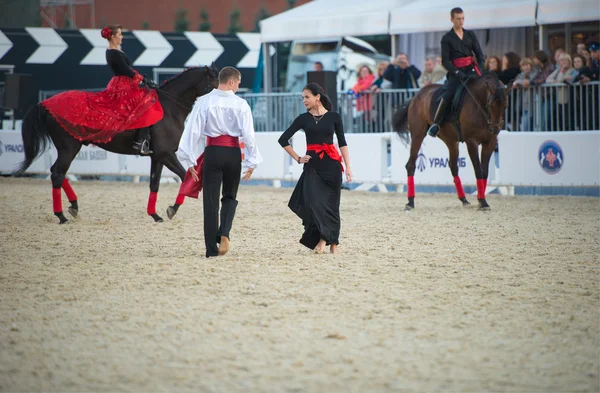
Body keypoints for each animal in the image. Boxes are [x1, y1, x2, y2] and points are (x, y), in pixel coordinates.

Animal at [15, 64, 219, 224]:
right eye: (215, 83)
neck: (169, 108)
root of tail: (46, 104)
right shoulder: (166, 154)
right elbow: (187, 178)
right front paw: (172, 209)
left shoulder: (158, 157)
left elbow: (155, 184)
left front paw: (156, 215)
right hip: (69, 148)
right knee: (57, 174)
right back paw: (61, 216)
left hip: (69, 148)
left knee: (56, 172)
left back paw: (73, 207)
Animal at [394, 72, 510, 210]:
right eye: (490, 105)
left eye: (505, 106)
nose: (495, 128)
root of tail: (416, 96)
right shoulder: (472, 142)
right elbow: (478, 170)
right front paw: (482, 201)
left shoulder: (490, 143)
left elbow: (485, 172)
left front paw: (481, 200)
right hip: (418, 135)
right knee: (411, 165)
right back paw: (410, 202)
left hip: (450, 140)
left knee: (453, 166)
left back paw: (464, 199)